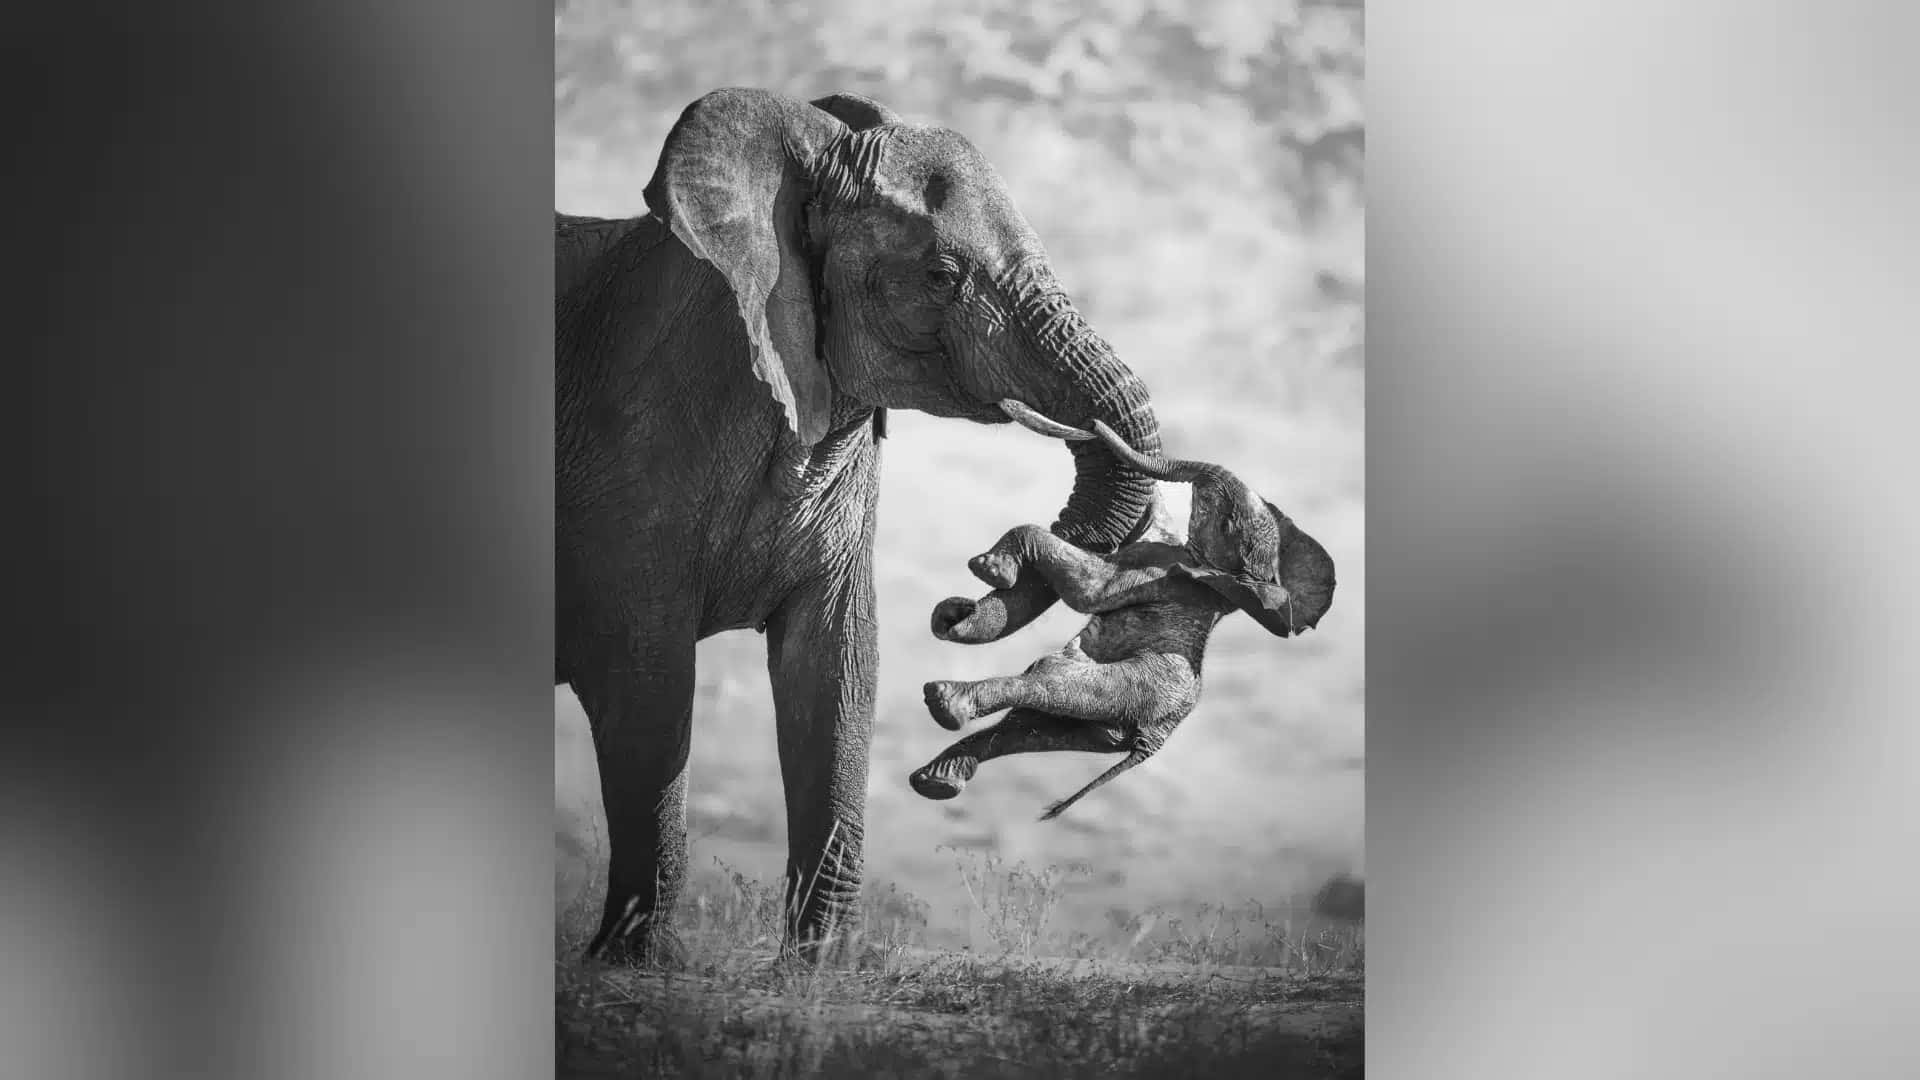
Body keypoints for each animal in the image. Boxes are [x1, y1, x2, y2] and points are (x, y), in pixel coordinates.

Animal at [555, 88, 1166, 963]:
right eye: (941, 276)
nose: (964, 596)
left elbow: (837, 669)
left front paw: (821, 972)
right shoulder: (632, 451)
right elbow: (649, 685)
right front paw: (637, 967)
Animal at [912, 412, 1336, 819]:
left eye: (1227, 522)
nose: (1091, 425)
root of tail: (1152, 741)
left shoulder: (1159, 571)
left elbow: (1087, 590)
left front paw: (990, 570)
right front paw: (953, 613)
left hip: (1131, 688)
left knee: (1048, 683)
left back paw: (945, 703)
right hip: (1106, 724)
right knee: (1028, 727)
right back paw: (936, 779)